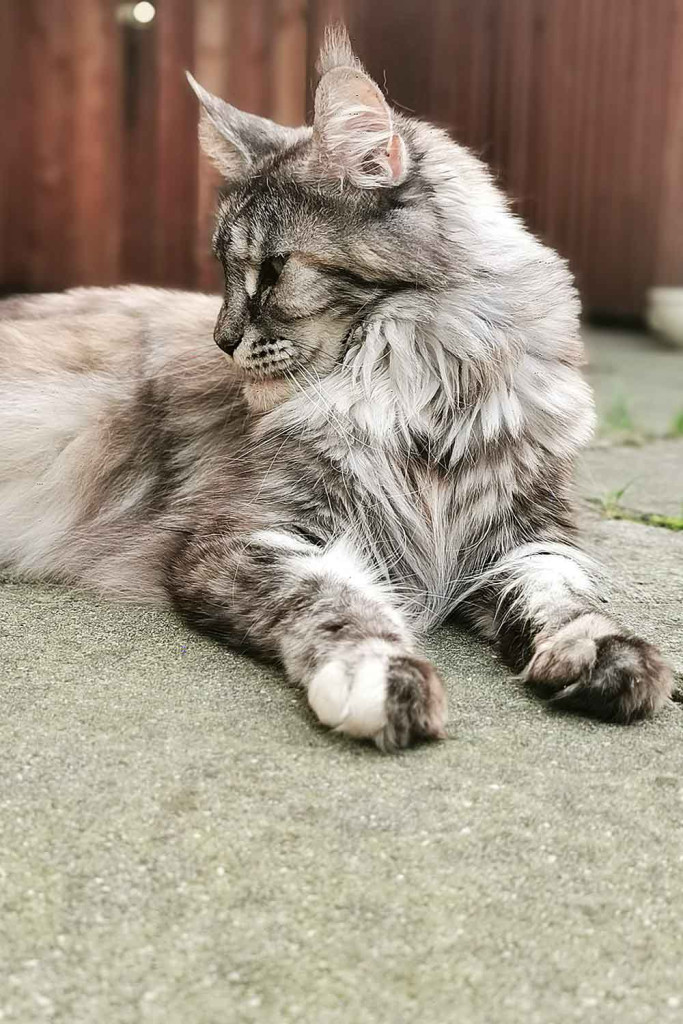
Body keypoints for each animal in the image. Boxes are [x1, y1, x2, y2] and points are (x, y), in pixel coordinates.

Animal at [0, 28, 672, 749]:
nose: (221, 339)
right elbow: (334, 598)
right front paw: (376, 673)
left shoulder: (527, 534)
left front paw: (604, 653)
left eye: (272, 271)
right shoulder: (250, 535)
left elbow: (563, 594)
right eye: (223, 269)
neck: (425, 403)